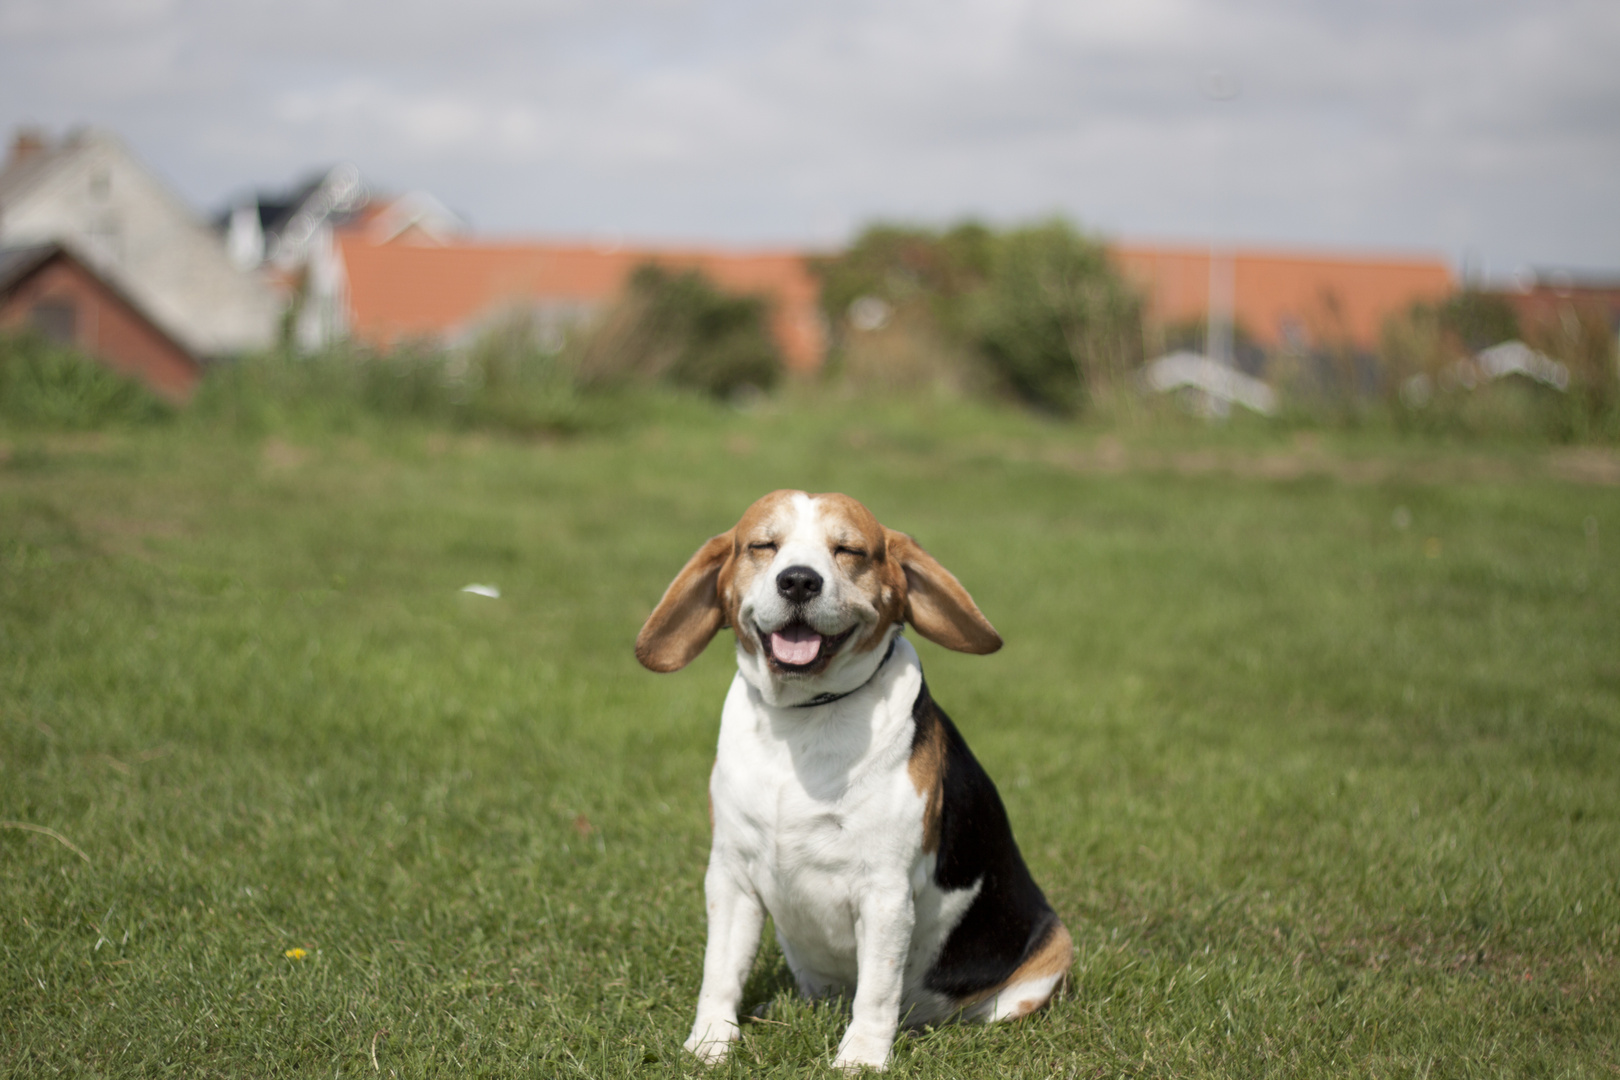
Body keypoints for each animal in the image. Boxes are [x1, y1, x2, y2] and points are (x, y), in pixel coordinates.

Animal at [635, 488, 1075, 1075]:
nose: (799, 581)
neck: (804, 719)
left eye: (849, 551)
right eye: (763, 545)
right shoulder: (730, 876)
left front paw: (861, 1059)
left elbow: (877, 991)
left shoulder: (884, 891)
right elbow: (720, 971)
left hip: (1052, 948)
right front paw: (710, 1043)